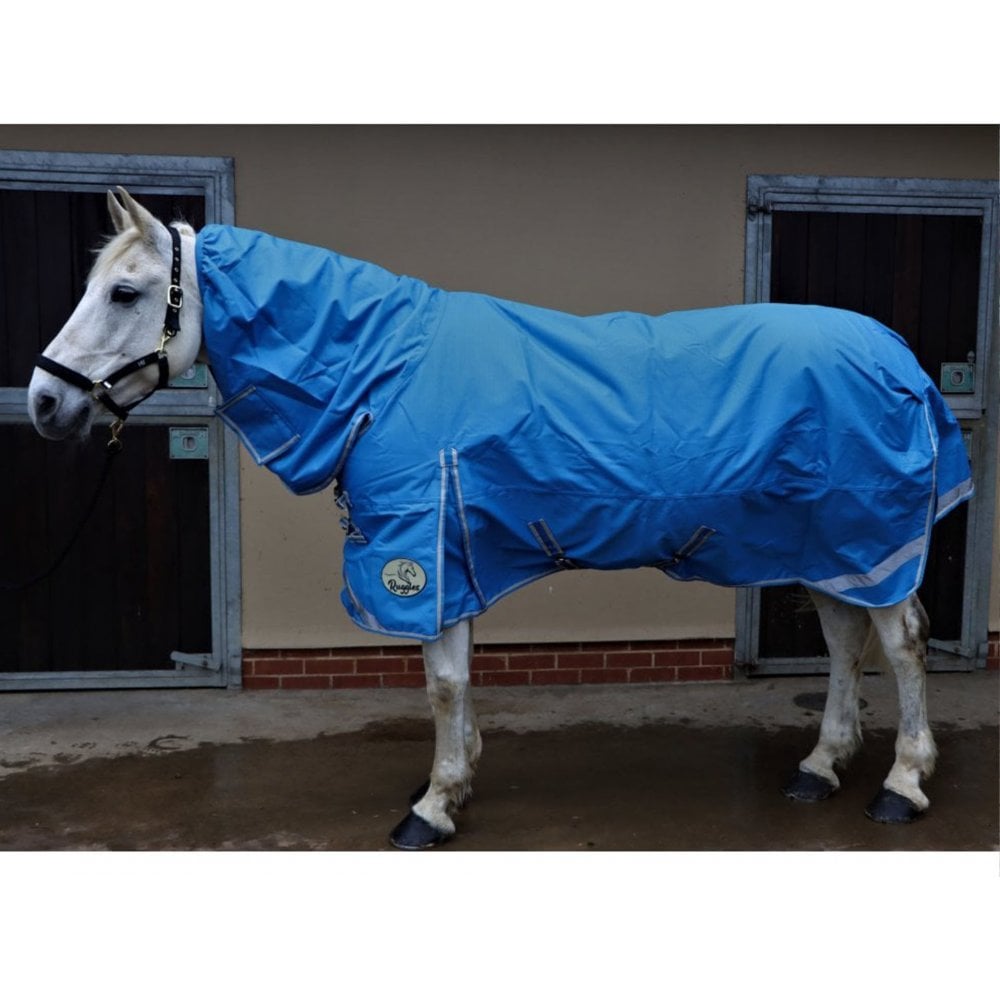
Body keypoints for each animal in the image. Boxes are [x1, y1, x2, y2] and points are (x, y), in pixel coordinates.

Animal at [27, 188, 973, 849]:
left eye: (124, 292)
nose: (42, 402)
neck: (386, 369)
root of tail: (897, 356)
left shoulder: (422, 549)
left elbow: (442, 681)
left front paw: (435, 805)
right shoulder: (458, 550)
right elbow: (459, 675)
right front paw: (461, 775)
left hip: (868, 534)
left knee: (901, 642)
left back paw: (902, 784)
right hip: (830, 542)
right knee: (845, 639)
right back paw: (821, 766)